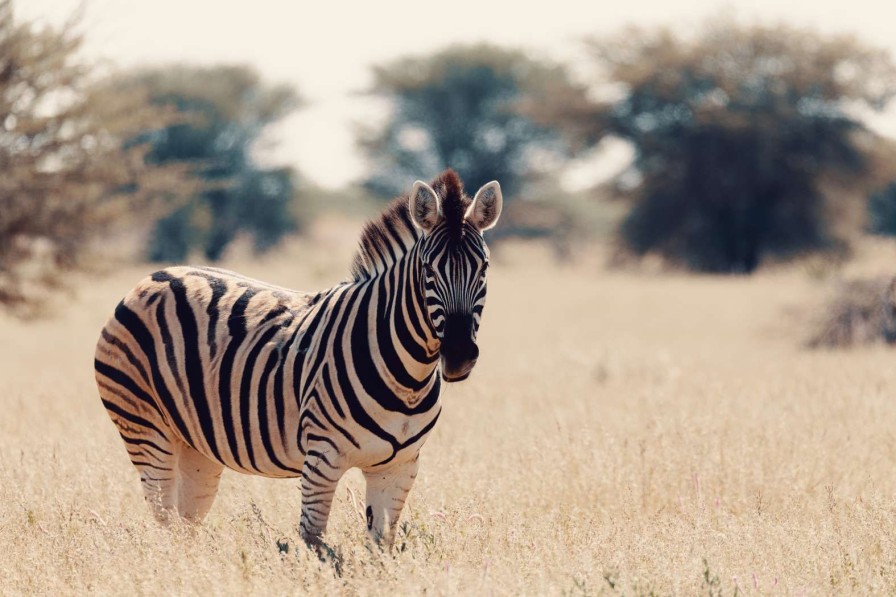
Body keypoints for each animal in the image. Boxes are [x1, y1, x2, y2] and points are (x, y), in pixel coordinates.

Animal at [96, 170, 504, 548]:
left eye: (484, 268)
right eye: (428, 270)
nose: (458, 356)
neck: (408, 379)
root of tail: (154, 277)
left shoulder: (398, 468)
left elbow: (380, 548)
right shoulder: (322, 458)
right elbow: (315, 542)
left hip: (196, 447)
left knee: (185, 526)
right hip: (146, 429)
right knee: (164, 519)